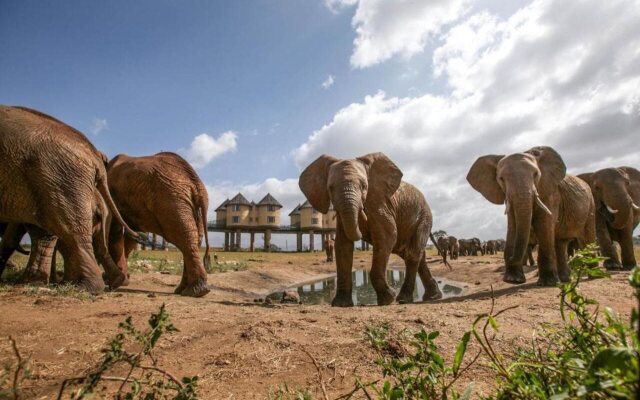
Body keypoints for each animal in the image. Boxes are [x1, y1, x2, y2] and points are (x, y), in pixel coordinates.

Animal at [107, 152, 210, 296]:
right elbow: (130, 236)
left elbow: (116, 232)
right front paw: (122, 279)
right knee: (193, 239)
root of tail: (197, 183)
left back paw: (194, 292)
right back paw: (186, 290)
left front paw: (115, 282)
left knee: (185, 238)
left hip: (171, 200)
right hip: (186, 204)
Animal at [298, 151, 440, 306]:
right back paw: (432, 296)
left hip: (424, 217)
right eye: (330, 187)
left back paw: (403, 299)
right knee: (416, 254)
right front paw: (341, 304)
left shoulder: (380, 204)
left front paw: (388, 299)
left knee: (412, 253)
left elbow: (387, 236)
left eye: (364, 186)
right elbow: (342, 244)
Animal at [464, 145, 596, 286]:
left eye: (536, 174)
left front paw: (547, 283)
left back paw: (592, 275)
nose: (509, 256)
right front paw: (513, 280)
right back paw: (565, 280)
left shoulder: (550, 193)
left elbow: (544, 225)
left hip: (591, 205)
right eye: (501, 179)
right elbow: (513, 226)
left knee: (587, 238)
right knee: (561, 242)